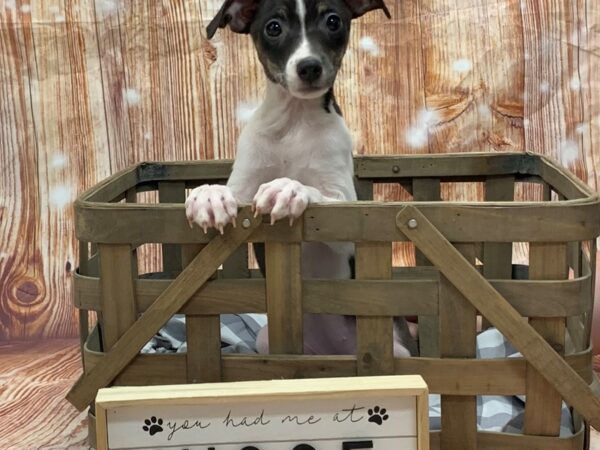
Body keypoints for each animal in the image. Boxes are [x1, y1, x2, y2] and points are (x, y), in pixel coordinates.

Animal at [185, 0, 414, 356]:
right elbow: (228, 193)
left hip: (396, 347)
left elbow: (313, 191)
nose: (309, 67)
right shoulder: (243, 187)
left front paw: (288, 188)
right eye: (273, 27)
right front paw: (208, 195)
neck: (294, 123)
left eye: (333, 21)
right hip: (266, 340)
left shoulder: (349, 216)